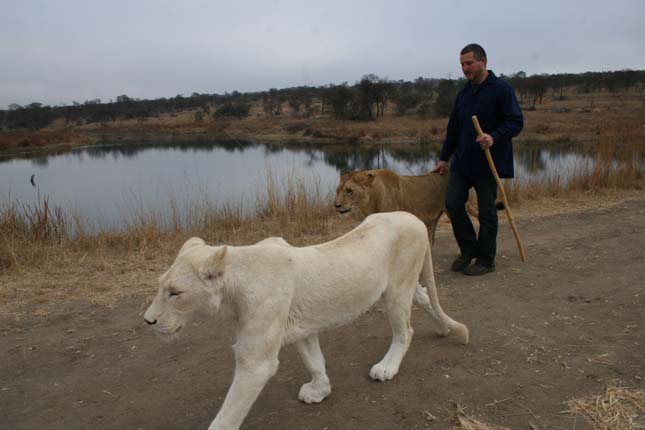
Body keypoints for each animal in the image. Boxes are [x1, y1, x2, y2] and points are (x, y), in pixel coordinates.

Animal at [145, 212, 468, 430]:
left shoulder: (256, 363)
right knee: (424, 295)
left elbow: (228, 414)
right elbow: (314, 360)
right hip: (404, 285)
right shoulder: (301, 326)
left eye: (175, 293)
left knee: (405, 330)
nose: (148, 321)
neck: (234, 284)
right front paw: (319, 390)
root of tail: (413, 218)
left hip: (396, 290)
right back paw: (445, 328)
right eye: (160, 286)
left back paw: (387, 367)